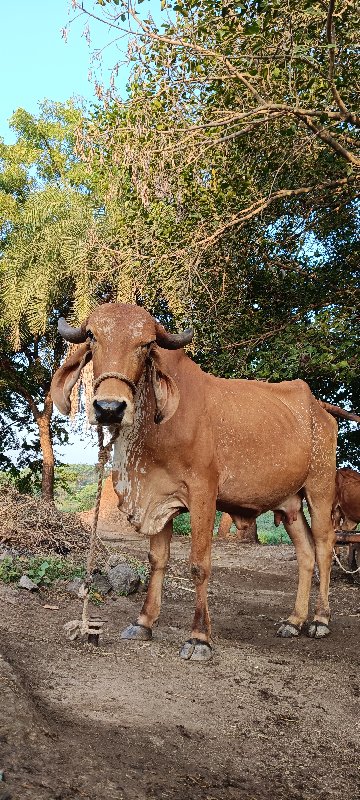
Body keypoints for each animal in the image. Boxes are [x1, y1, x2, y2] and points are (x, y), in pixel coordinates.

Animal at [51, 304, 340, 660]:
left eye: (147, 345)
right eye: (92, 336)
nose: (109, 408)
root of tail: (318, 409)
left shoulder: (203, 494)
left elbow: (198, 565)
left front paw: (200, 637)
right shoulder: (157, 499)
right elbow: (157, 560)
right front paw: (143, 622)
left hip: (320, 488)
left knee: (324, 547)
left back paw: (320, 620)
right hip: (290, 505)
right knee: (305, 554)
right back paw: (294, 620)